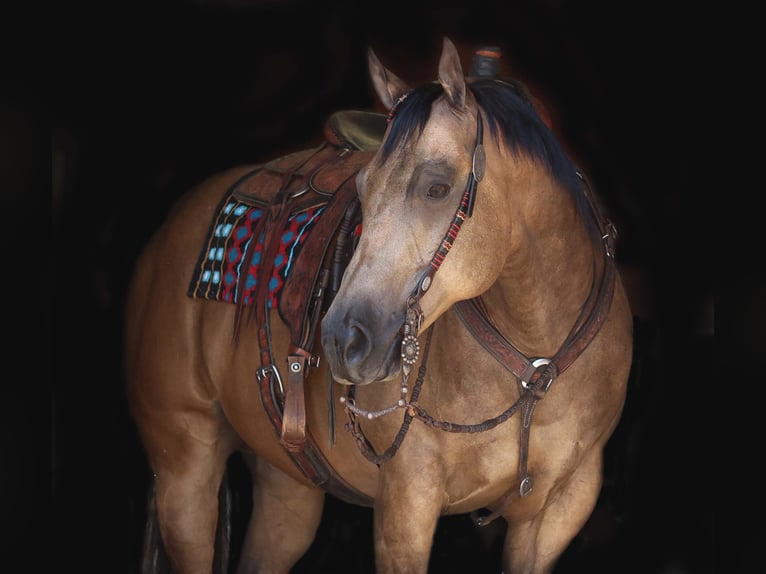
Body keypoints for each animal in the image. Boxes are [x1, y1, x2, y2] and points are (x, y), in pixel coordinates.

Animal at [123, 37, 632, 574]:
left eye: (437, 187)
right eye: (363, 190)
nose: (341, 340)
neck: (535, 359)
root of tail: (167, 231)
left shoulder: (556, 512)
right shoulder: (406, 504)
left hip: (288, 485)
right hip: (184, 471)